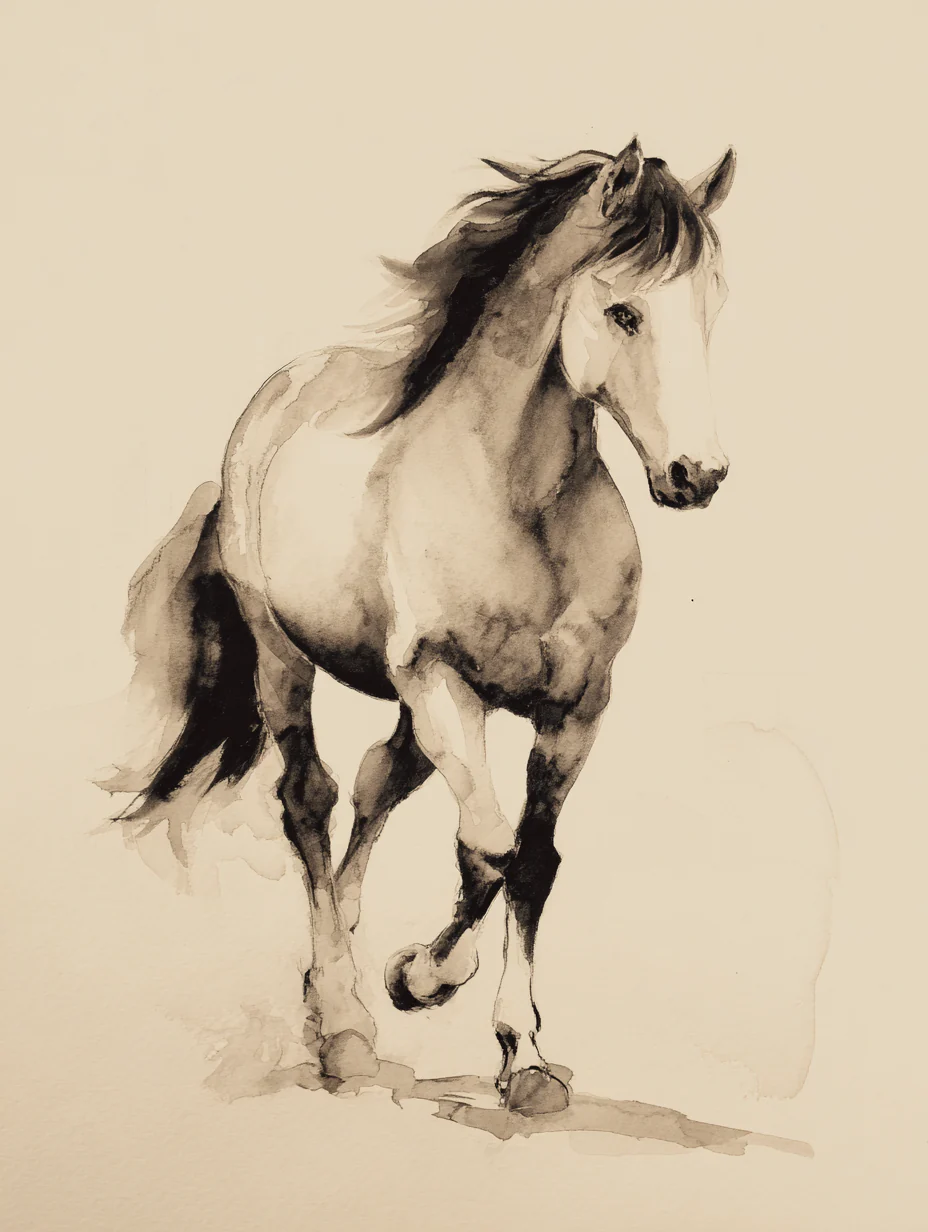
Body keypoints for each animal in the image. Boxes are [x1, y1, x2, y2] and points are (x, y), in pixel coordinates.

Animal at [105, 137, 736, 1117]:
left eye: (710, 306)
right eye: (624, 310)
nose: (696, 475)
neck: (521, 504)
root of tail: (281, 395)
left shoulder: (576, 708)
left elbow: (532, 860)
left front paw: (523, 1056)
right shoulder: (442, 683)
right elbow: (488, 849)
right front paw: (422, 982)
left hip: (416, 706)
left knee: (378, 781)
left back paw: (334, 970)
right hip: (287, 658)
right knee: (311, 799)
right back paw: (344, 1021)